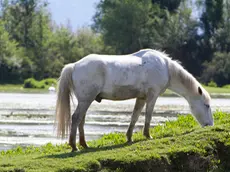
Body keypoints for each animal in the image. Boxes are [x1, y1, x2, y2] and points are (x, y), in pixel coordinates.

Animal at [54, 48, 213, 152]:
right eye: (206, 105)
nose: (210, 125)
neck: (165, 67)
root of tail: (74, 65)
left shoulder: (141, 98)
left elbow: (134, 116)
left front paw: (129, 137)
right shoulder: (152, 96)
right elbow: (148, 116)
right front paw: (148, 135)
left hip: (86, 100)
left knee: (81, 120)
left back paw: (84, 144)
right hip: (86, 100)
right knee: (76, 118)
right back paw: (74, 146)